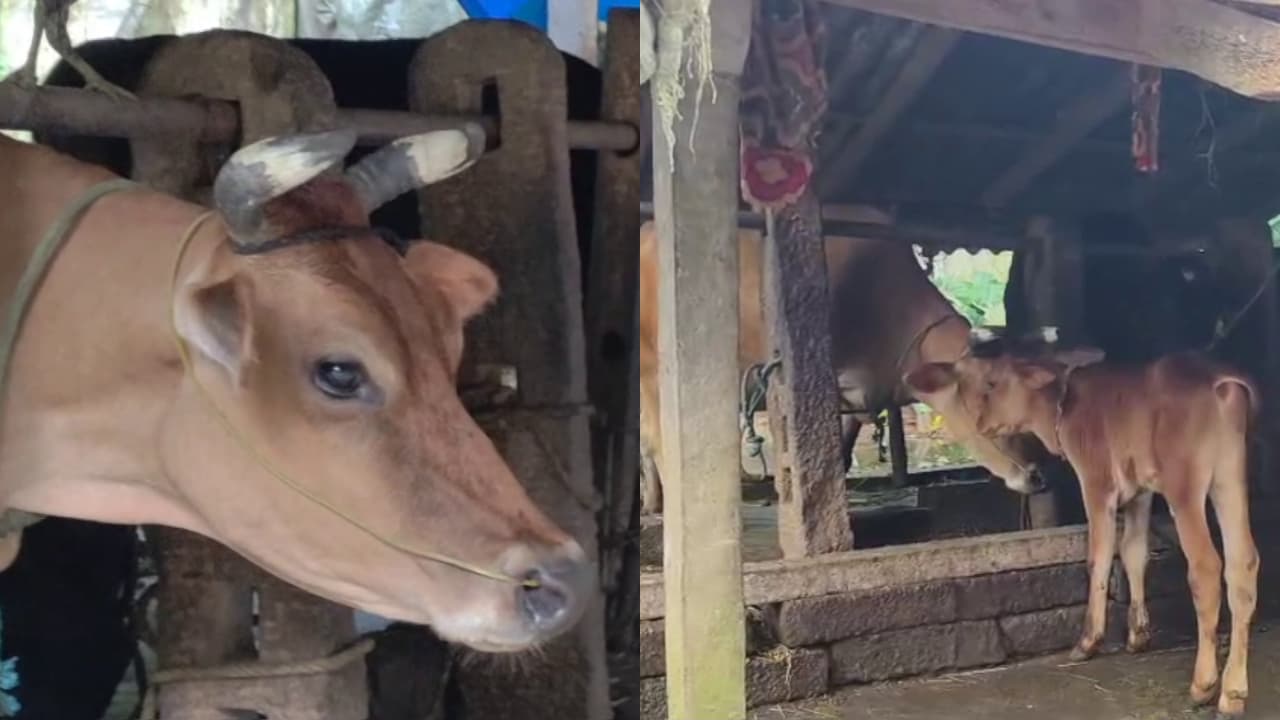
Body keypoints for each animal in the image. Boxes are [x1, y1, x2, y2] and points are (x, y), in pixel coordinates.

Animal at [904, 334, 1259, 719]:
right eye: (962, 383)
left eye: (992, 382)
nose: (980, 423)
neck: (1061, 406)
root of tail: (1220, 380)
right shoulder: (1141, 491)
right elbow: (1134, 552)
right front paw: (1137, 635)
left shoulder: (1097, 480)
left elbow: (1098, 557)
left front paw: (1088, 641)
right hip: (1230, 477)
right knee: (1243, 564)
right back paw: (1233, 692)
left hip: (1185, 485)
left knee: (1206, 567)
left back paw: (1204, 684)